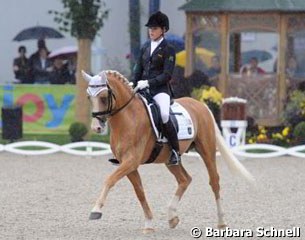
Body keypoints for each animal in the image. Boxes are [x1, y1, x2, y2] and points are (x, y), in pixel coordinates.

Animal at [82, 69, 253, 232]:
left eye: (103, 97)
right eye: (89, 97)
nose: (96, 128)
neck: (129, 118)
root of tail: (200, 105)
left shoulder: (131, 161)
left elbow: (109, 180)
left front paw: (96, 210)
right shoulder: (127, 164)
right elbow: (139, 191)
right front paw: (149, 224)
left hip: (207, 151)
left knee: (214, 181)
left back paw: (221, 222)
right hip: (170, 160)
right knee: (185, 179)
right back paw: (172, 217)